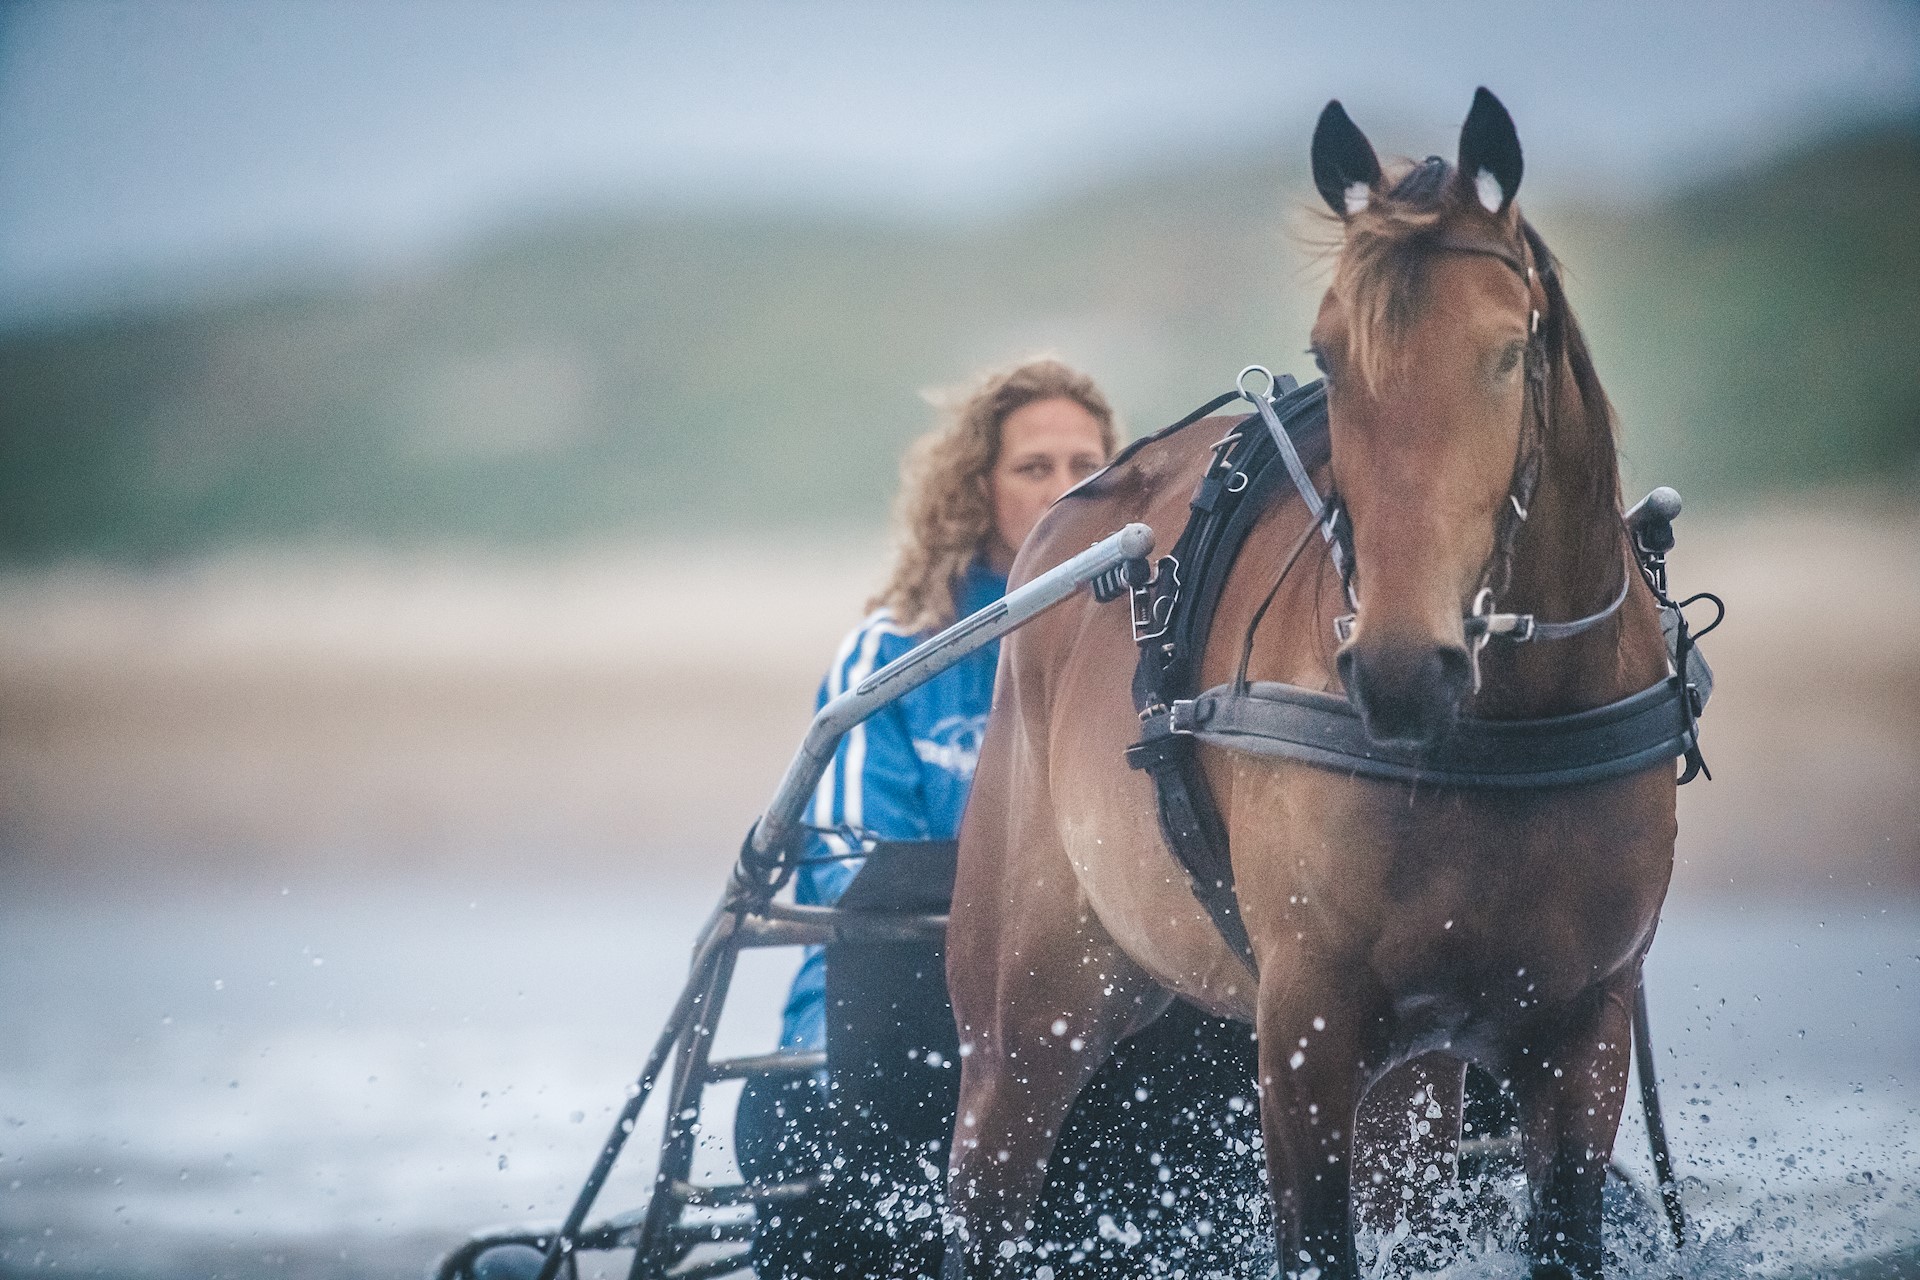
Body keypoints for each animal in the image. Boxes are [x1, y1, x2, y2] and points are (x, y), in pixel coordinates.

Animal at [948, 92, 1681, 1280]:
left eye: (1506, 352)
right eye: (1330, 359)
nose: (1397, 667)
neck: (1499, 734)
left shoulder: (1584, 1029)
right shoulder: (1305, 1030)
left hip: (1414, 1076)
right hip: (1021, 1036)